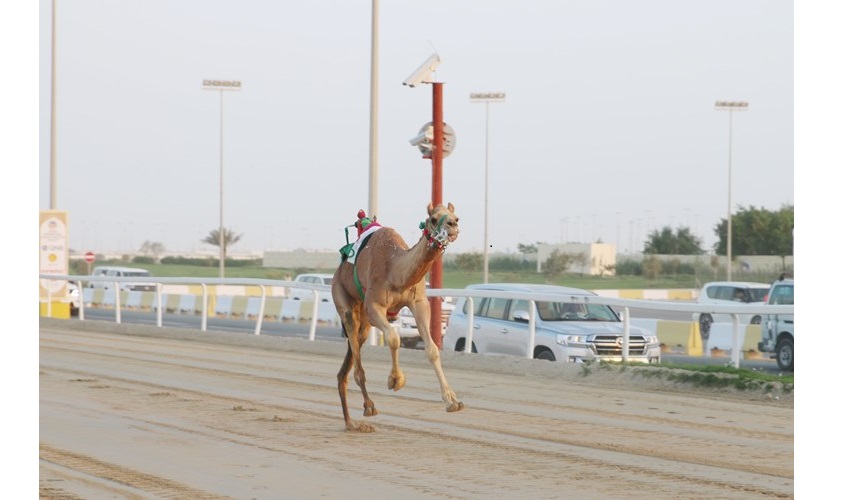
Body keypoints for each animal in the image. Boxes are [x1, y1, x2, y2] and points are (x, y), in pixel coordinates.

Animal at [330, 201, 464, 432]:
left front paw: (452, 401)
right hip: (344, 300)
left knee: (345, 368)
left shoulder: (419, 303)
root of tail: (337, 273)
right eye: (433, 218)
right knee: (356, 358)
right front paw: (395, 380)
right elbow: (393, 337)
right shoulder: (374, 306)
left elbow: (432, 349)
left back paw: (351, 423)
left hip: (363, 319)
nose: (452, 225)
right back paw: (368, 407)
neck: (395, 269)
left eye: (455, 217)